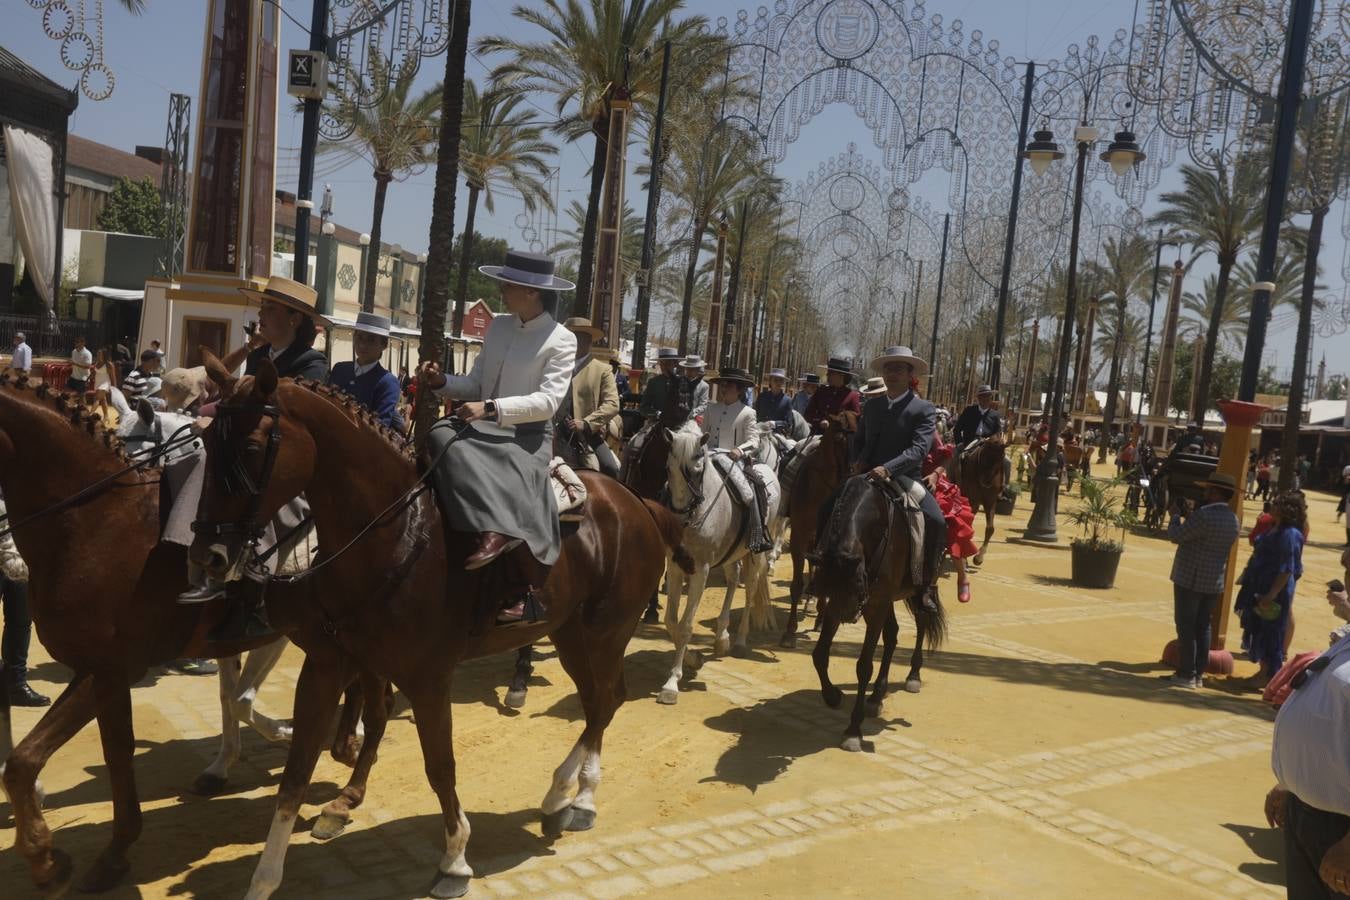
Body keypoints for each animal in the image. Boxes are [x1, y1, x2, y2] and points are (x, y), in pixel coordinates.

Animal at [0, 375, 380, 895]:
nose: (11, 567)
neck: (97, 523)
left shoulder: (112, 667)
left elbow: (27, 762)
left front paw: (46, 860)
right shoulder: (107, 673)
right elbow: (113, 752)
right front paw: (111, 854)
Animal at [190, 358, 691, 900]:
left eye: (252, 447)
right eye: (207, 443)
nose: (208, 555)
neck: (397, 534)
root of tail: (637, 502)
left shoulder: (428, 679)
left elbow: (439, 765)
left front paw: (454, 860)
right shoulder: (329, 666)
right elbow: (297, 773)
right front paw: (265, 878)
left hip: (605, 634)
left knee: (604, 703)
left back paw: (574, 797)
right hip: (571, 635)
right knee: (602, 701)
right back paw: (564, 795)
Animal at [658, 426, 788, 707]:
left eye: (697, 472)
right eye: (667, 470)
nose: (678, 520)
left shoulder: (701, 570)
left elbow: (685, 626)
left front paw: (672, 683)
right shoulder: (674, 567)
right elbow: (671, 621)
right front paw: (693, 658)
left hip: (755, 556)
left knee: (750, 592)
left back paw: (738, 641)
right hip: (731, 555)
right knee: (732, 579)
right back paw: (721, 638)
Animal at [777, 412, 858, 650]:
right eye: (839, 438)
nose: (851, 472)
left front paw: (822, 618)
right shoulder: (799, 537)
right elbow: (796, 584)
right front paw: (789, 632)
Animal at [799, 474, 950, 750]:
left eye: (858, 581)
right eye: (826, 583)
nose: (848, 615)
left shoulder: (874, 604)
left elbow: (864, 666)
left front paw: (853, 731)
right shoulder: (841, 605)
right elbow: (819, 654)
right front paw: (832, 695)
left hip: (915, 592)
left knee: (921, 622)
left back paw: (913, 675)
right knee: (892, 636)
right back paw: (877, 696)